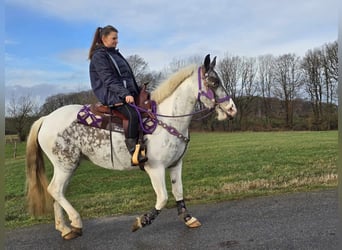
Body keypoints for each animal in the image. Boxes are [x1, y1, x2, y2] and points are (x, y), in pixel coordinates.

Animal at [25, 53, 236, 239]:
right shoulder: (155, 169)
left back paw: (65, 229)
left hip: (67, 166)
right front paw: (142, 221)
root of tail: (46, 119)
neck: (167, 119)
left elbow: (178, 192)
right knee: (55, 190)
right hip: (65, 164)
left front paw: (188, 218)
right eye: (214, 82)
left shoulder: (176, 164)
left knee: (58, 192)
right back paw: (75, 222)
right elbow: (162, 198)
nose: (232, 108)